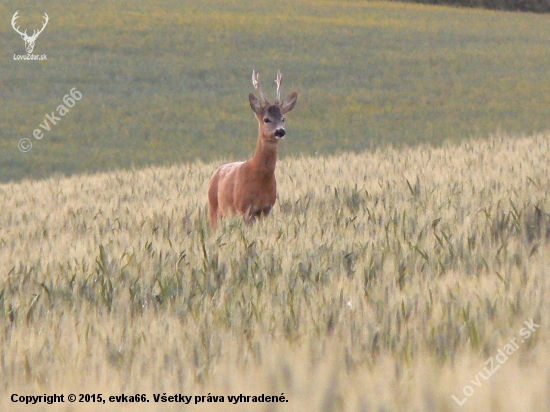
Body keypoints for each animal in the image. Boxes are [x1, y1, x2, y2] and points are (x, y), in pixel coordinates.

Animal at [209, 69, 300, 227]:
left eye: (283, 118)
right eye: (266, 119)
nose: (280, 131)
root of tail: (217, 171)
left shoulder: (266, 209)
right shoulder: (243, 208)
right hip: (213, 207)